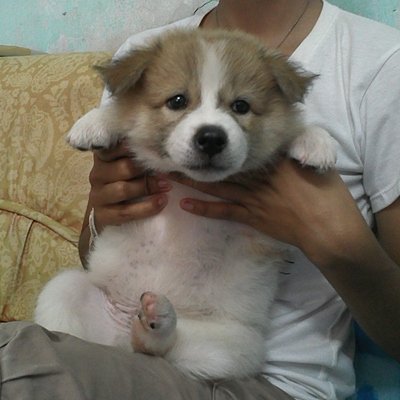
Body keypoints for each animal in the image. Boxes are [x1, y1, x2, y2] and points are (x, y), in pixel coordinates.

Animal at [35, 29, 336, 380]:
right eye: (177, 101)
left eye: (241, 106)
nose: (211, 137)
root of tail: (122, 337)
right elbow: (122, 112)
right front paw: (94, 123)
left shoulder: (267, 232)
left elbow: (294, 128)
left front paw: (316, 141)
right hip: (63, 289)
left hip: (235, 345)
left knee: (161, 347)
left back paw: (154, 325)